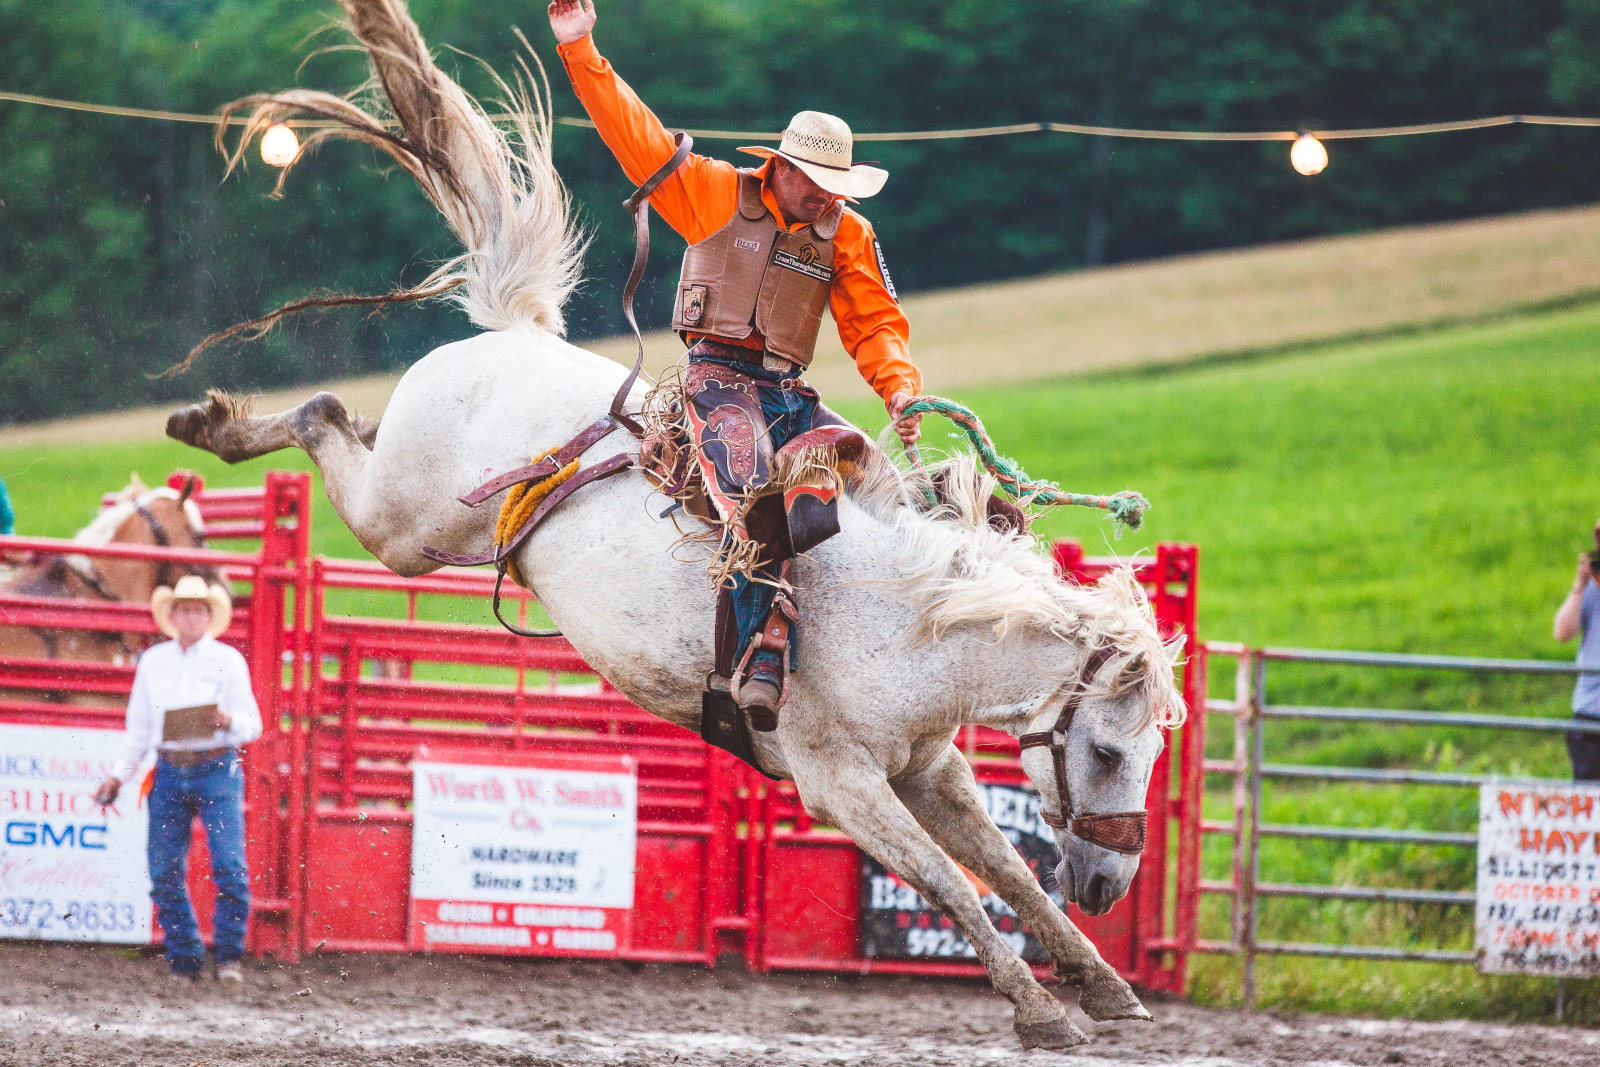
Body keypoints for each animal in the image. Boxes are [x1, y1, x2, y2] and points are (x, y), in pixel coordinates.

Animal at [162, 2, 1190, 1049]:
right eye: (1107, 750)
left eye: (1154, 755)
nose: (1109, 882)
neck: (905, 623)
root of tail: (517, 333)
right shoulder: (839, 779)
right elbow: (952, 884)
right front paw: (1042, 1009)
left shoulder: (931, 768)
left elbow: (1014, 873)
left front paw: (1103, 980)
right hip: (402, 529)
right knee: (324, 414)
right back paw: (218, 424)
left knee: (347, 423)